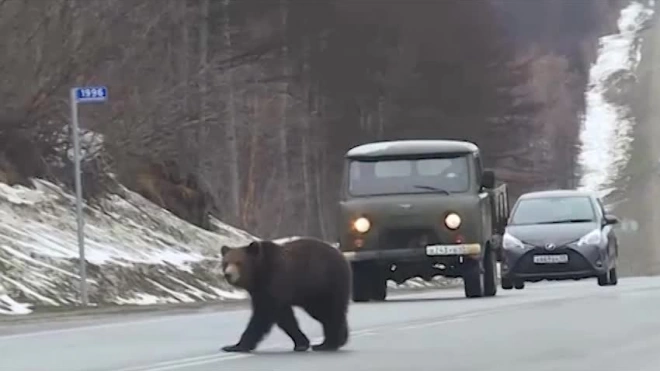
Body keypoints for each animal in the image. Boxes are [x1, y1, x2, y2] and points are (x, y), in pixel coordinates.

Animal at [220, 238, 354, 354]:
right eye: (226, 263)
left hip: (327, 283)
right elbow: (285, 318)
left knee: (331, 311)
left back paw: (329, 344)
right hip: (314, 294)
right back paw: (337, 340)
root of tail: (342, 256)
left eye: (239, 262)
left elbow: (263, 316)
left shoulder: (275, 282)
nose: (228, 274)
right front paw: (301, 343)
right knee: (324, 313)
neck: (259, 274)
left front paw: (236, 346)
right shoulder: (261, 292)